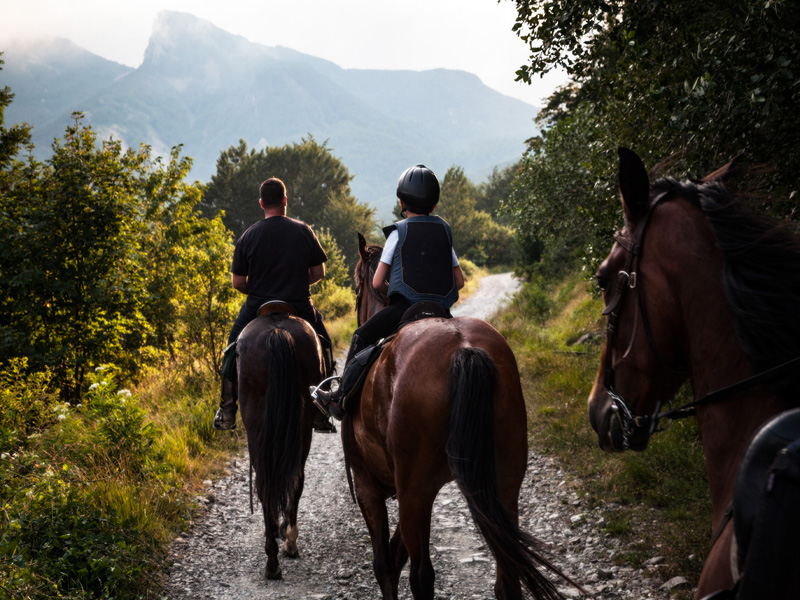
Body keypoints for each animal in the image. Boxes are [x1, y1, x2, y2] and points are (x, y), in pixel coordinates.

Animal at [238, 312, 324, 580]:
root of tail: (277, 332)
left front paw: (278, 527)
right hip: (301, 426)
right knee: (292, 479)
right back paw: (285, 548)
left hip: (258, 429)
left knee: (269, 484)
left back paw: (277, 555)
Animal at [346, 233, 580, 600]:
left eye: (357, 286)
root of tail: (464, 349)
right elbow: (395, 555)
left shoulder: (368, 485)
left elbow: (385, 564)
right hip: (503, 481)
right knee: (507, 577)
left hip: (415, 491)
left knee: (422, 576)